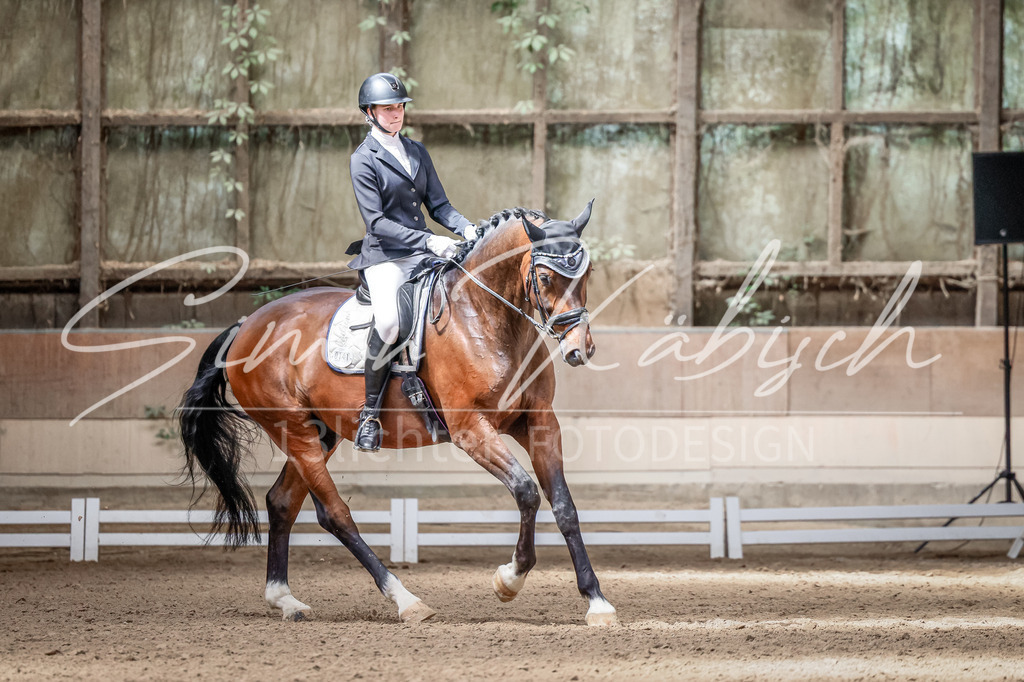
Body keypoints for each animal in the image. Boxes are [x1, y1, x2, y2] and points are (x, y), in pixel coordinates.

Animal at [177, 201, 618, 626]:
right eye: (543, 277)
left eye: (587, 274)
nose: (579, 349)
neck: (485, 316)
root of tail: (245, 325)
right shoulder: (471, 430)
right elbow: (526, 492)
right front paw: (509, 579)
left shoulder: (539, 422)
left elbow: (564, 506)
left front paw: (596, 601)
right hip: (294, 429)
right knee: (334, 514)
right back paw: (406, 601)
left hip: (321, 432)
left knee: (282, 501)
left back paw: (285, 599)